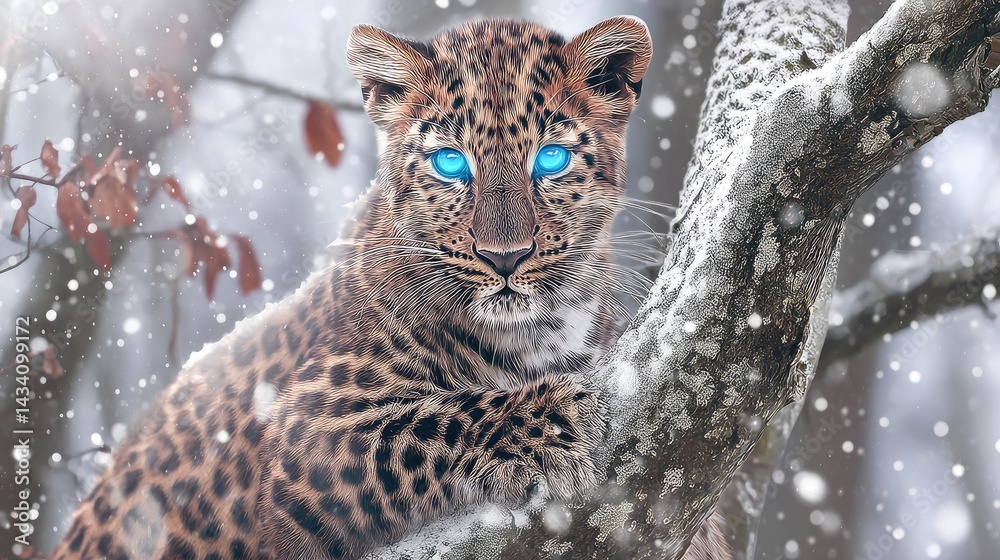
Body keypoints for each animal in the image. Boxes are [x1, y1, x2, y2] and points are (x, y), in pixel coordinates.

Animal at [51, 16, 731, 560]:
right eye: (451, 162)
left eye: (551, 160)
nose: (504, 258)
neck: (540, 331)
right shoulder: (307, 428)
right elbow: (429, 423)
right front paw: (552, 419)